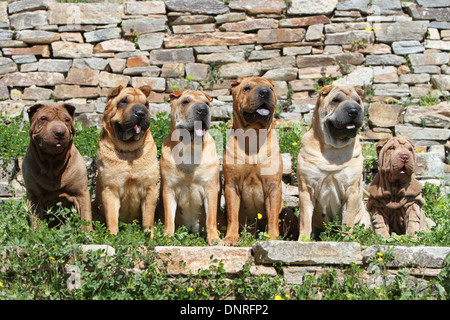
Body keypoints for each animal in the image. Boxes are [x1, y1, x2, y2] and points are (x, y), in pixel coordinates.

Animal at [23, 102, 93, 230]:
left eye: (67, 120)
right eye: (44, 118)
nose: (60, 132)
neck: (52, 164)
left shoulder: (81, 193)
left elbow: (85, 217)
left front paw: (87, 233)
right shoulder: (34, 196)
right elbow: (36, 220)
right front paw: (38, 233)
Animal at [94, 85, 159, 235]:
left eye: (146, 104)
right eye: (123, 101)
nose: (141, 113)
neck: (129, 152)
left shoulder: (150, 188)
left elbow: (148, 217)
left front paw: (150, 235)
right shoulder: (110, 189)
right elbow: (112, 217)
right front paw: (113, 236)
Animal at [221, 76, 282, 246]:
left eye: (271, 88)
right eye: (247, 88)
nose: (265, 92)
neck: (254, 135)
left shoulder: (273, 185)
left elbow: (273, 216)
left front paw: (273, 238)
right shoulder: (232, 185)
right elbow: (232, 216)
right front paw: (231, 238)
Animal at [298, 85, 370, 240]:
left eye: (358, 101)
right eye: (336, 100)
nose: (354, 110)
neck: (333, 149)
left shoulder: (351, 189)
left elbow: (348, 218)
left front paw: (346, 238)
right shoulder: (306, 188)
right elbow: (305, 220)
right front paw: (303, 240)